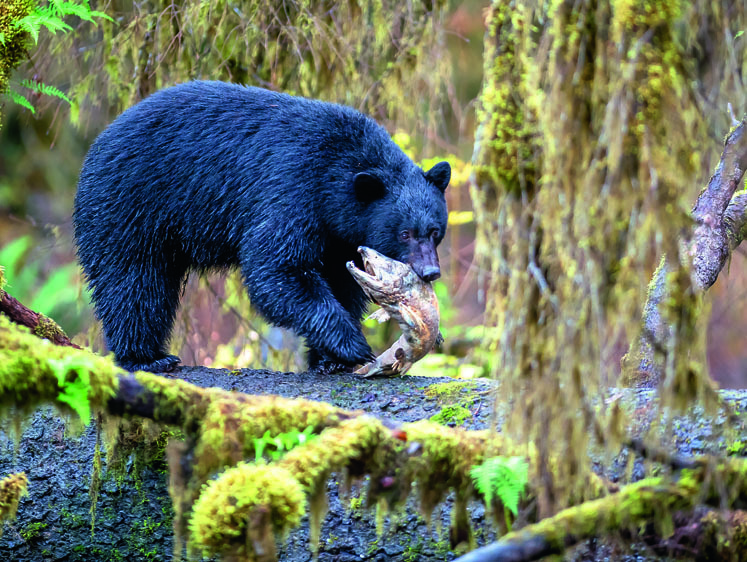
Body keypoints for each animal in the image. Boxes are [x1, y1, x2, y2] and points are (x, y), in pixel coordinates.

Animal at [74, 80, 450, 372]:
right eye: (404, 233)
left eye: (435, 231)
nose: (430, 271)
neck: (335, 176)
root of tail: (98, 142)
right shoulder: (291, 187)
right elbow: (278, 268)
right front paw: (351, 346)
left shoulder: (339, 237)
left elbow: (341, 282)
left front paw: (328, 358)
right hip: (131, 207)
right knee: (133, 281)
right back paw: (146, 357)